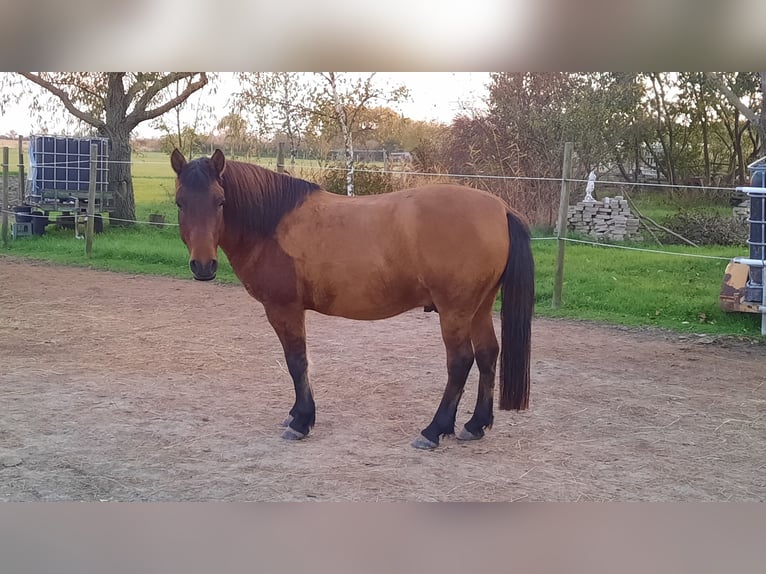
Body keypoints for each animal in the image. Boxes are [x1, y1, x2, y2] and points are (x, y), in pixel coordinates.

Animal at [172, 148, 536, 450]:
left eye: (220, 201)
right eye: (180, 202)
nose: (203, 266)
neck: (273, 224)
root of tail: (500, 208)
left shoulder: (284, 309)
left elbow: (297, 361)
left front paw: (301, 421)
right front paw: (296, 415)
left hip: (455, 311)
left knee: (460, 362)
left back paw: (433, 430)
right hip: (480, 307)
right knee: (488, 355)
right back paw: (475, 425)